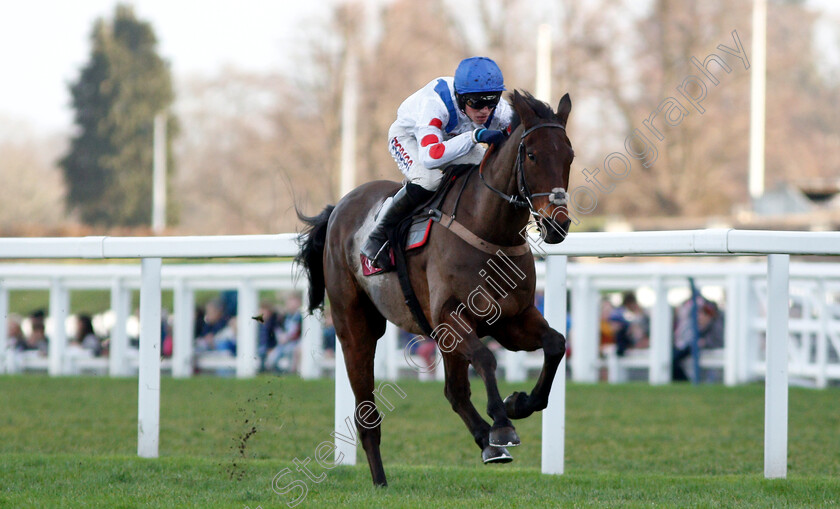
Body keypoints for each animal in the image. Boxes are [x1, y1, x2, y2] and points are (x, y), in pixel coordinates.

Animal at [296, 90, 572, 484]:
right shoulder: (450, 318)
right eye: (532, 154)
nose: (557, 225)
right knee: (367, 412)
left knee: (454, 392)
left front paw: (518, 404)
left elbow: (555, 343)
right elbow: (486, 358)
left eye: (569, 155)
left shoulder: (511, 319)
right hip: (355, 325)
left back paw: (486, 443)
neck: (489, 230)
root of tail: (338, 209)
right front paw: (503, 425)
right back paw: (380, 479)